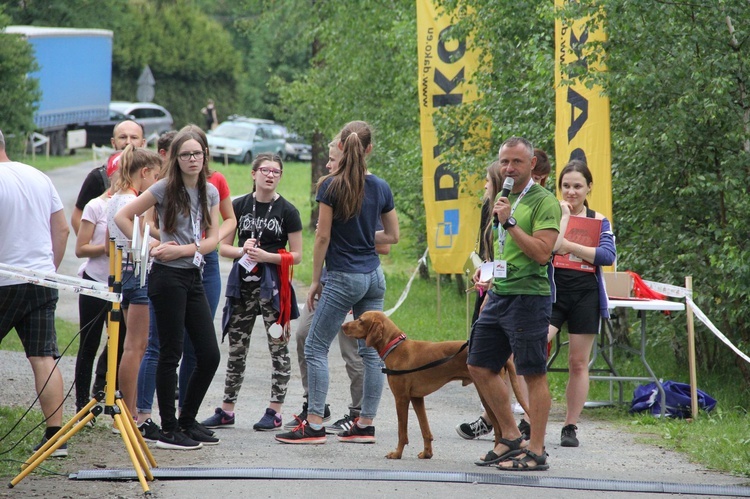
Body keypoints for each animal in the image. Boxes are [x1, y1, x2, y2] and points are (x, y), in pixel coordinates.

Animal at [342, 312, 528, 460]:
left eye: (360, 320)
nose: (343, 325)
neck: (396, 347)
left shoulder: (401, 398)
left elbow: (402, 432)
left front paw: (397, 454)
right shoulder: (417, 398)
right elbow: (425, 430)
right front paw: (427, 453)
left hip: (486, 393)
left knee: (499, 428)